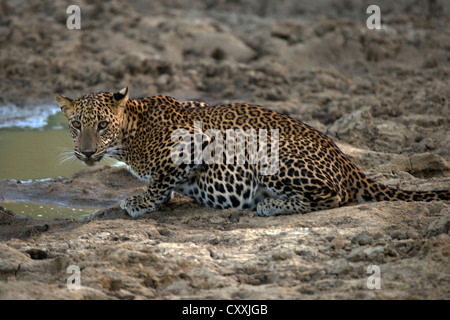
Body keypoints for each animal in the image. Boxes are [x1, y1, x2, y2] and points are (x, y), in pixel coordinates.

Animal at [56, 87, 450, 218]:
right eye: (76, 125)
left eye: (102, 125)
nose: (86, 153)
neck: (131, 133)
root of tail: (346, 160)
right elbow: (162, 185)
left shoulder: (195, 141)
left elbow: (159, 182)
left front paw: (138, 202)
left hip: (271, 152)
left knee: (334, 196)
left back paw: (271, 205)